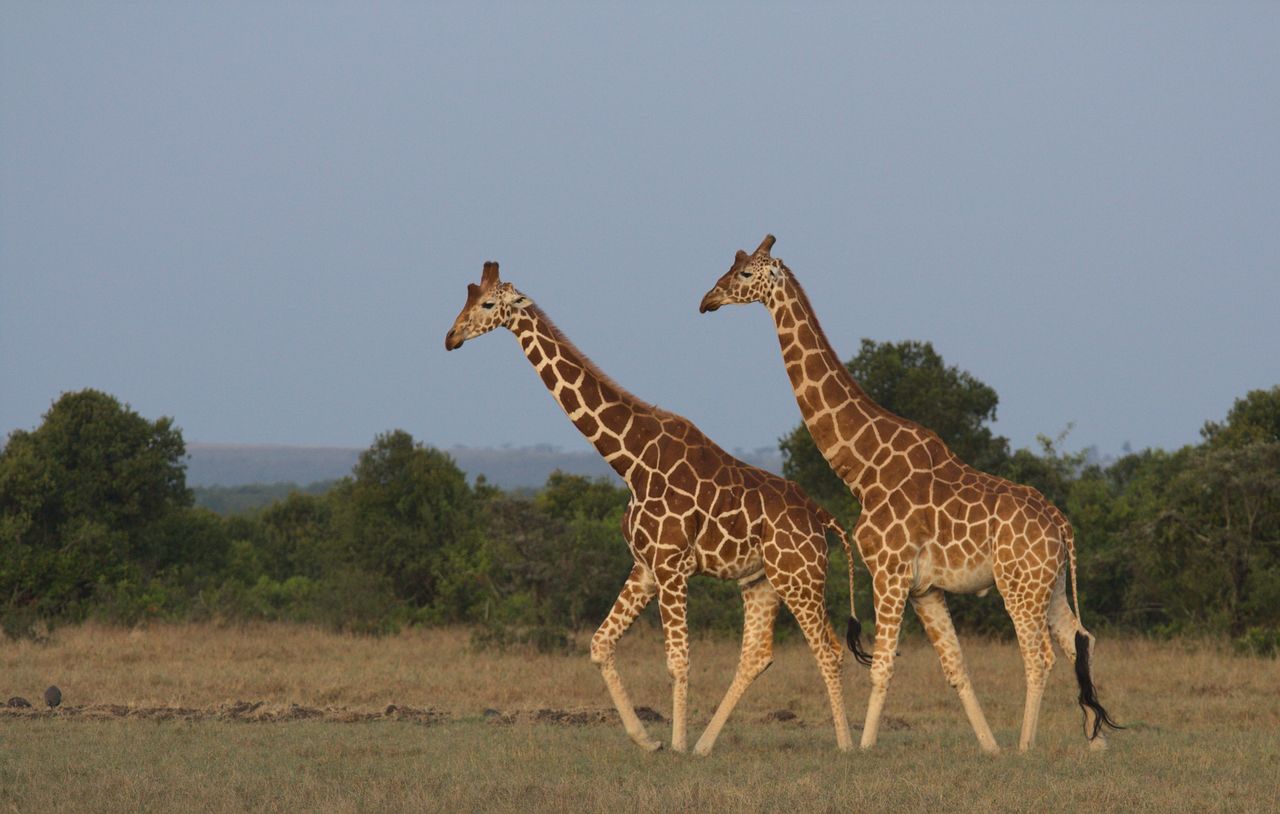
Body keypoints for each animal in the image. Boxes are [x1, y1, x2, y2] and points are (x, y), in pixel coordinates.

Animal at [446, 261, 871, 754]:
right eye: (466, 297)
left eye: (487, 304)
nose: (451, 337)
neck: (630, 460)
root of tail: (822, 517)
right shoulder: (645, 566)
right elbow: (600, 644)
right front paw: (648, 740)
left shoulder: (670, 567)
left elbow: (678, 661)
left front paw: (677, 744)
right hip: (760, 581)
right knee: (758, 655)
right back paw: (708, 744)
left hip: (799, 576)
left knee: (827, 649)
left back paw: (844, 744)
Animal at [699, 235, 1120, 753]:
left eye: (743, 274)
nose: (707, 300)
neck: (864, 469)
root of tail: (1061, 524)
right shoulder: (926, 589)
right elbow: (955, 668)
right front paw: (989, 748)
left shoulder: (889, 570)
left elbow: (882, 666)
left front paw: (863, 749)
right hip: (1052, 582)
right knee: (1080, 638)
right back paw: (1094, 743)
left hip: (1019, 584)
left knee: (1040, 654)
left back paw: (1027, 747)